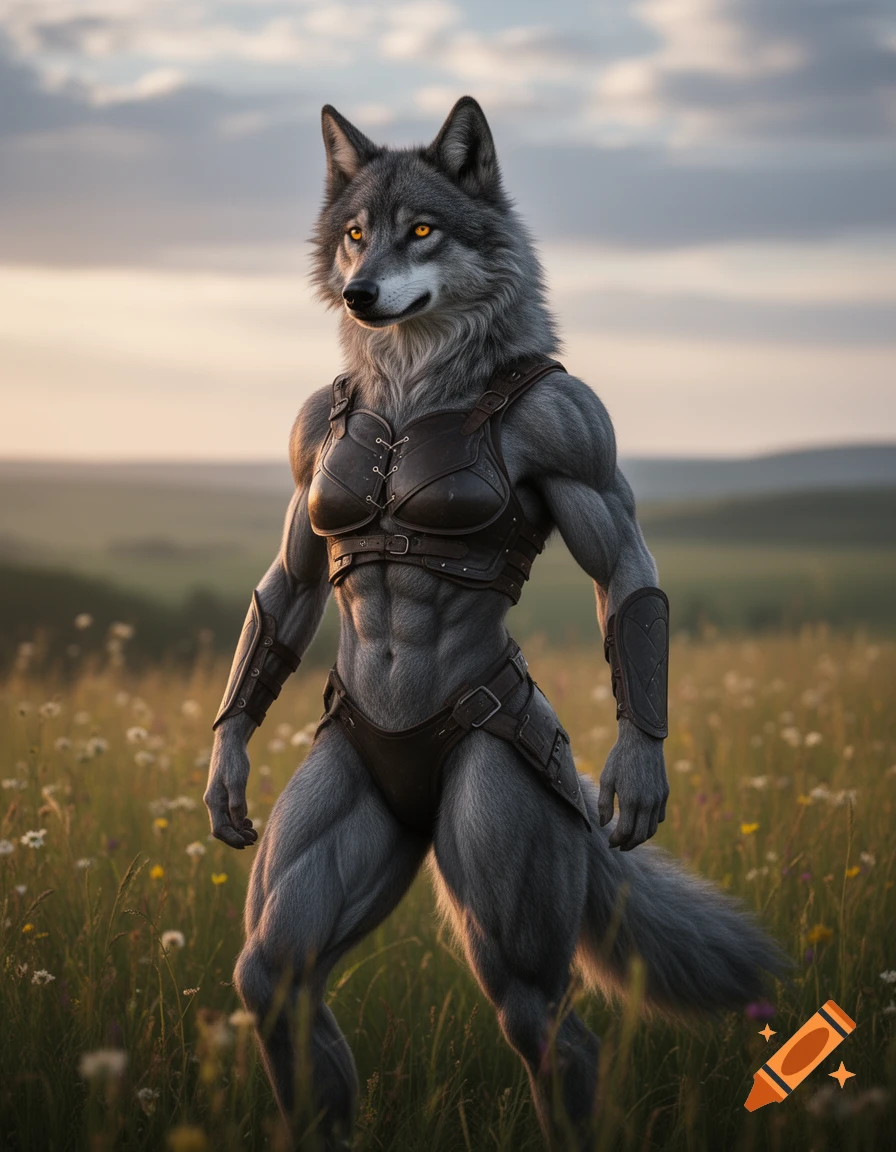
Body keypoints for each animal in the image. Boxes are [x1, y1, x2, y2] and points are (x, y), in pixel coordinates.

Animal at [203, 96, 788, 1150]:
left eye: (422, 231)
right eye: (357, 233)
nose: (359, 293)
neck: (412, 380)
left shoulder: (575, 427)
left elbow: (628, 575)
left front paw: (639, 771)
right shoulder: (310, 456)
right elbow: (287, 583)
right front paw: (227, 766)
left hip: (509, 894)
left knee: (556, 1031)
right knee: (284, 982)